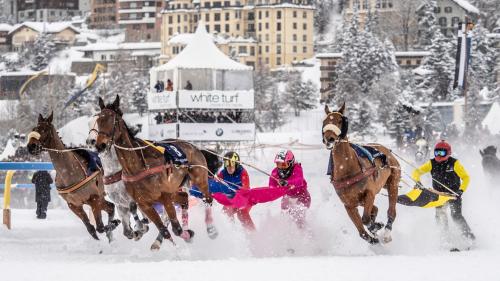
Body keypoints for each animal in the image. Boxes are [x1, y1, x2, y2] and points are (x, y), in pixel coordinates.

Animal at [27, 111, 120, 241]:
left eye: (44, 130)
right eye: (34, 129)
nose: (31, 146)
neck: (69, 173)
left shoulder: (94, 198)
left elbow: (100, 227)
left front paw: (115, 223)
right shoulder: (74, 205)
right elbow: (91, 229)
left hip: (99, 198)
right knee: (110, 207)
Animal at [93, 94, 214, 249]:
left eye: (112, 119)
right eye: (98, 120)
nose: (100, 145)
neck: (136, 167)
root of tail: (193, 146)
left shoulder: (164, 196)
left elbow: (176, 229)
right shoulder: (144, 204)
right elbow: (165, 230)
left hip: (199, 179)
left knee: (208, 200)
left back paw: (211, 229)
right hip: (174, 190)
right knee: (184, 198)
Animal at [322, 103, 400, 243]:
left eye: (340, 120)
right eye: (324, 121)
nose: (329, 138)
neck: (347, 171)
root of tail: (387, 151)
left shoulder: (369, 193)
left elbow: (365, 219)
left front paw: (376, 226)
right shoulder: (349, 205)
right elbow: (362, 232)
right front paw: (373, 234)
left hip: (393, 183)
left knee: (391, 211)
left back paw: (386, 233)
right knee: (375, 209)